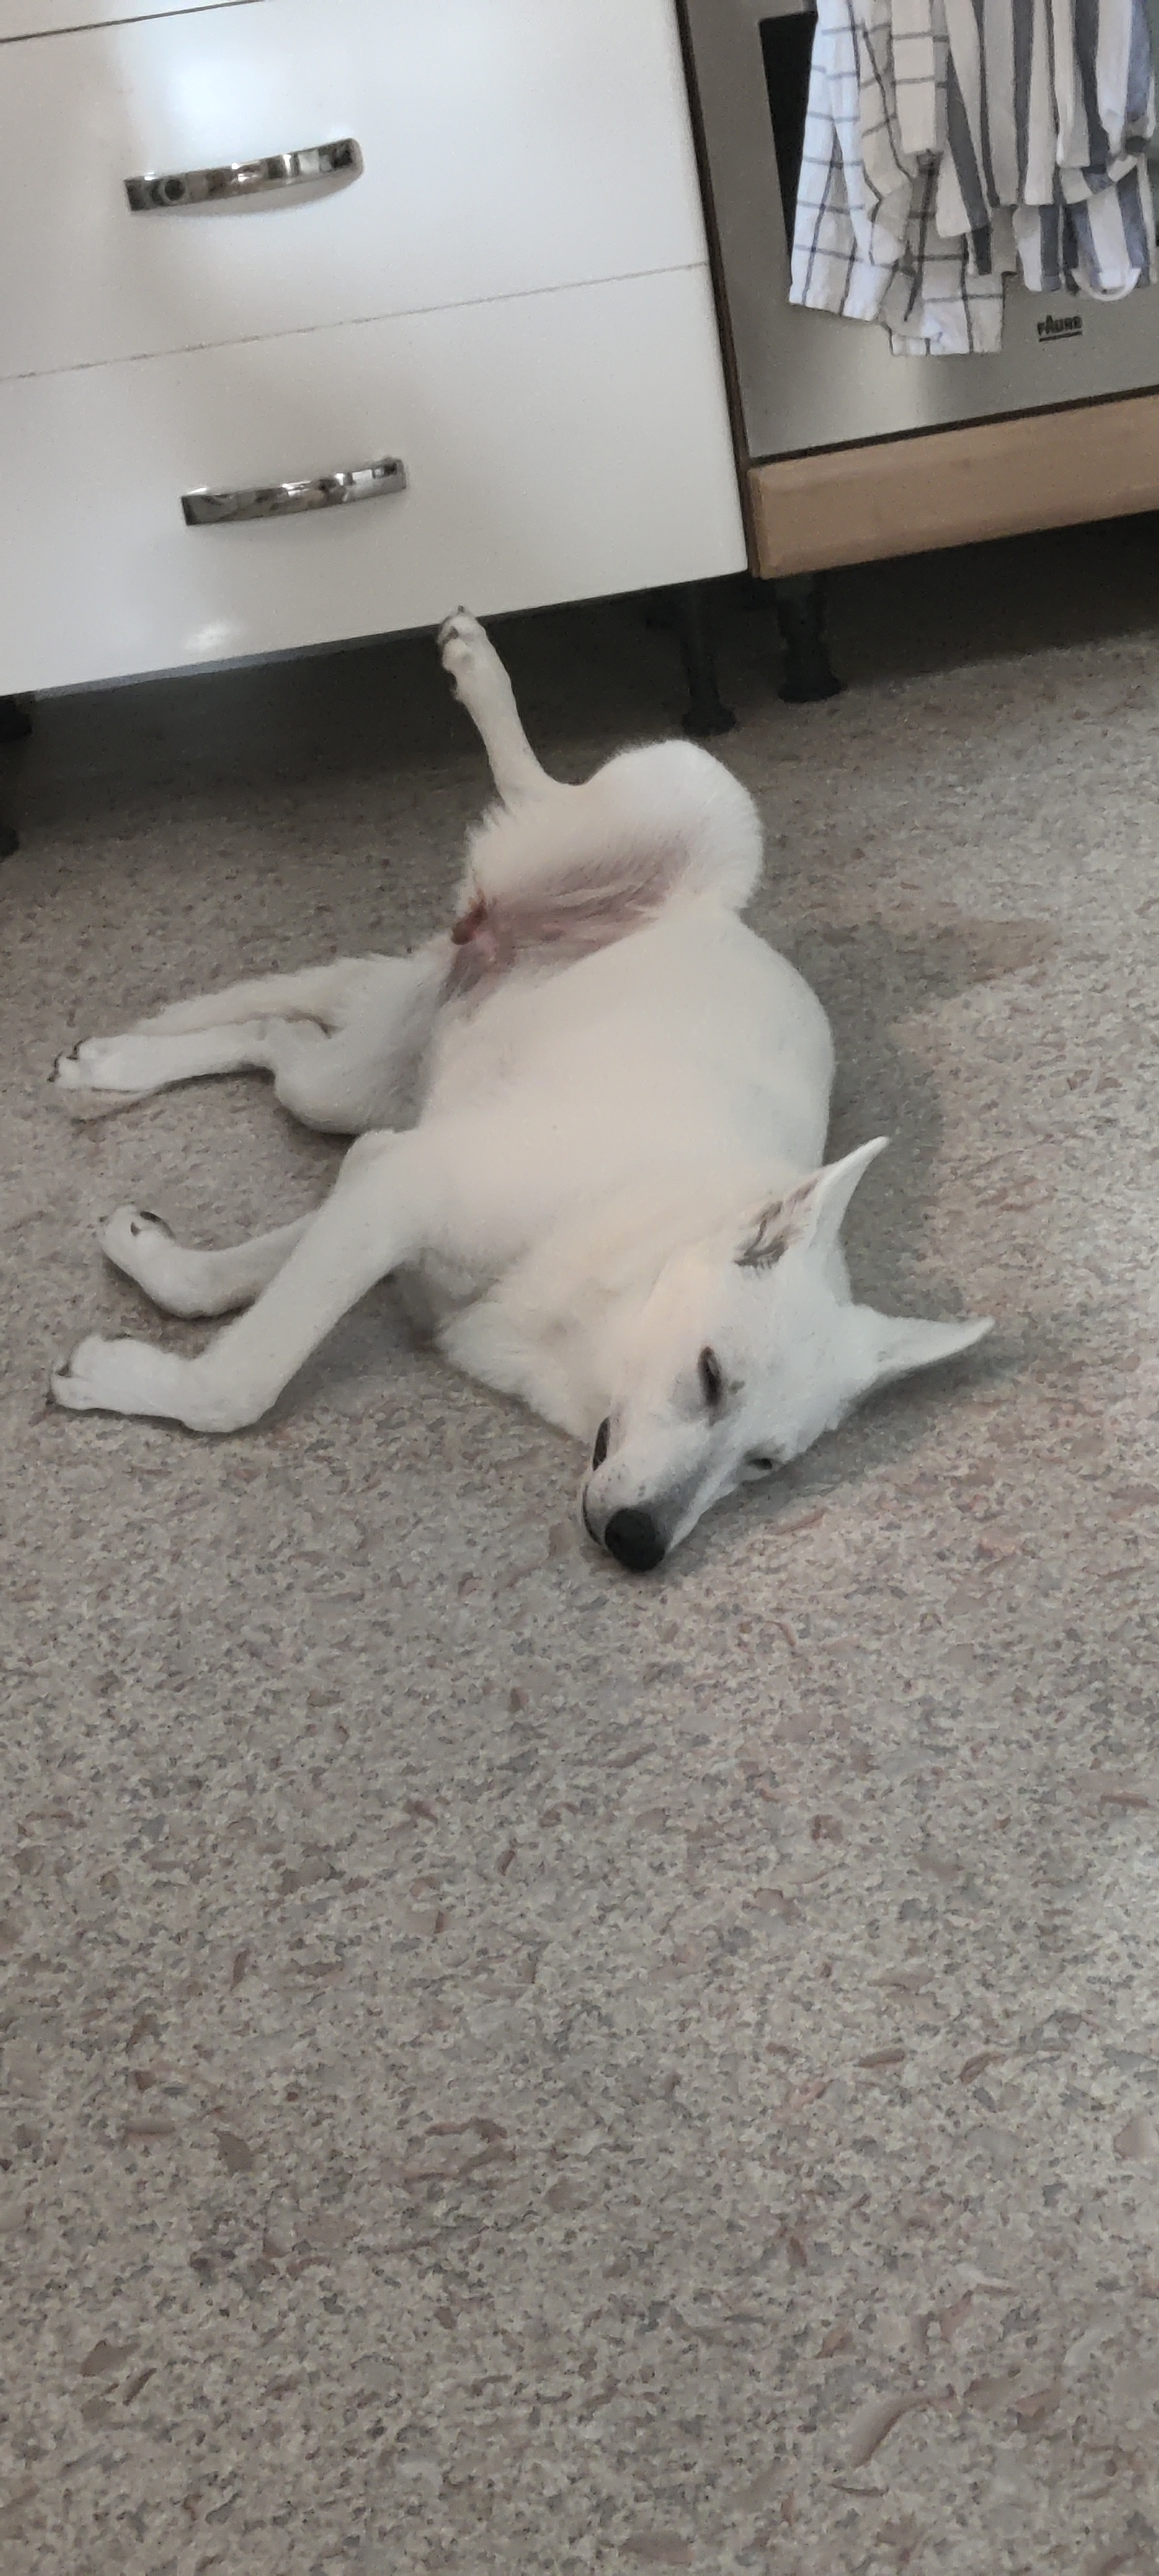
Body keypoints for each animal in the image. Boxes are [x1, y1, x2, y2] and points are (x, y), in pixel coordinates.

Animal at [50, 610, 991, 1570]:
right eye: (710, 1376)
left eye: (764, 1463)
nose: (641, 1546)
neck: (624, 1259)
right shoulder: (405, 1191)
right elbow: (246, 1378)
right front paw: (144, 1377)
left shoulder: (386, 1177)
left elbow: (231, 1280)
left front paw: (151, 1269)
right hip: (697, 793)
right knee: (537, 789)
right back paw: (478, 667)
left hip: (349, 1087)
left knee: (281, 1047)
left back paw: (115, 1069)